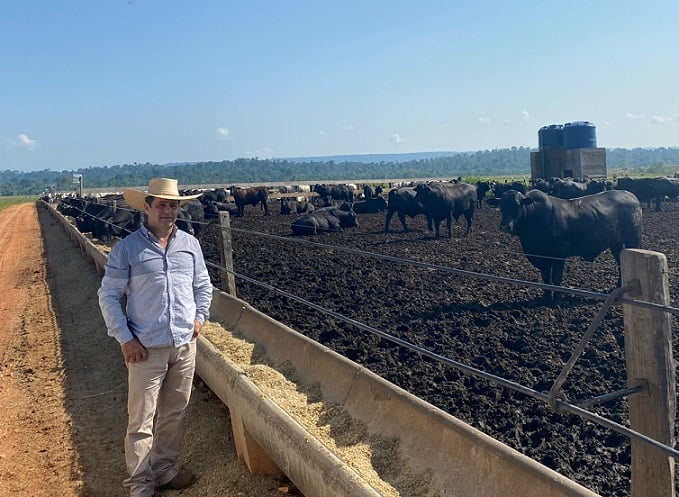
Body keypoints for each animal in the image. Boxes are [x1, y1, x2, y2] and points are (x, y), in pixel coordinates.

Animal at [488, 189, 644, 298]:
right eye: (501, 206)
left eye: (516, 205)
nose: (504, 226)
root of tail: (630, 195)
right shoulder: (542, 257)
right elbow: (546, 277)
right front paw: (546, 297)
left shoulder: (558, 254)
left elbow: (556, 278)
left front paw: (556, 298)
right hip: (616, 244)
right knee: (620, 264)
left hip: (633, 240)